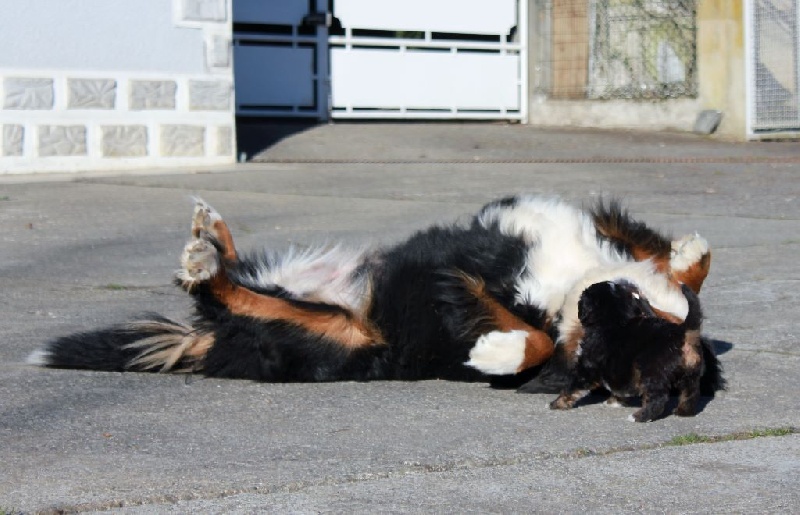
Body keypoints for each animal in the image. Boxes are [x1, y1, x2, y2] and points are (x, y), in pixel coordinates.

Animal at [552, 280, 724, 422]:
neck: (613, 319)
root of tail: (682, 332)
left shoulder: (586, 367)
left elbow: (571, 387)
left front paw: (556, 404)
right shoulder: (619, 369)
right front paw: (615, 401)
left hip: (652, 372)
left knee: (657, 399)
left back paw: (639, 417)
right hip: (691, 374)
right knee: (690, 393)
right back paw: (683, 412)